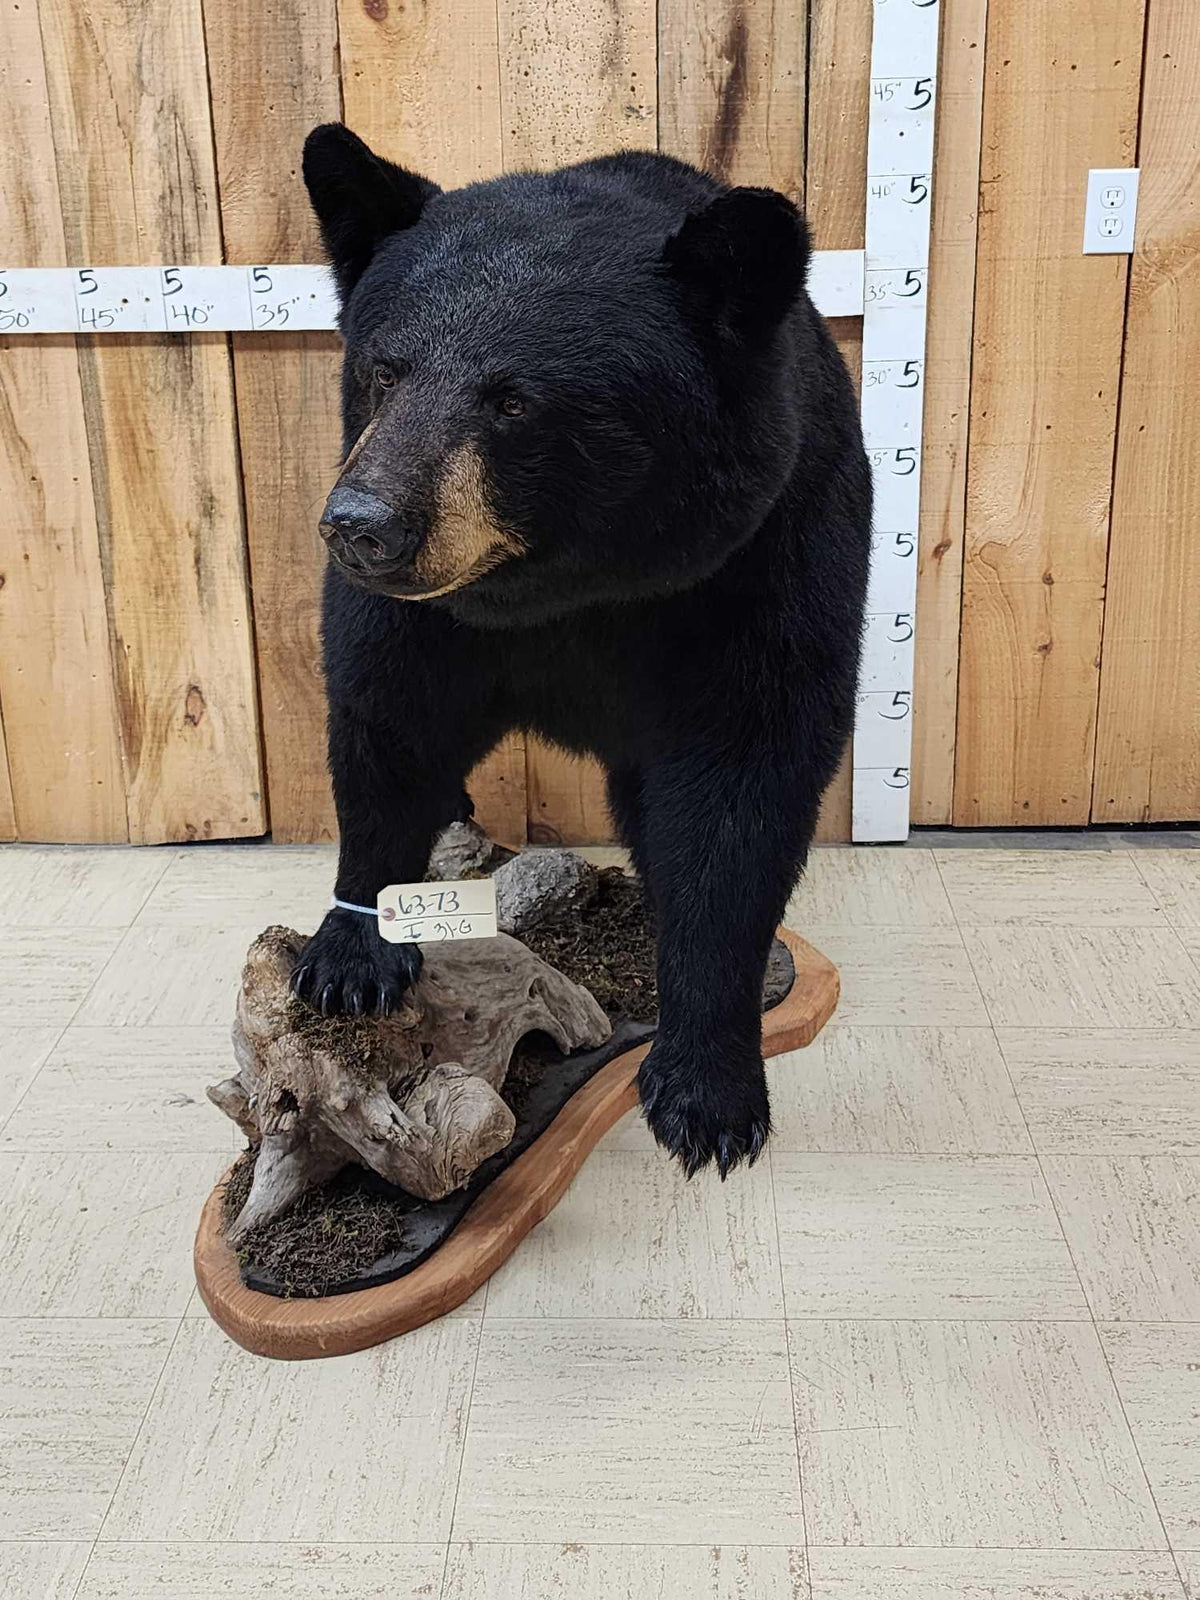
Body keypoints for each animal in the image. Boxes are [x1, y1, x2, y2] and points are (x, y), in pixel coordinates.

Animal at [292, 123, 871, 1178]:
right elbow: (386, 727)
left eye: (513, 400)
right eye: (386, 368)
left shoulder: (767, 563)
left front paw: (708, 1093)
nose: (361, 525)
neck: (572, 589)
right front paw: (355, 952)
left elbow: (743, 794)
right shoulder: (418, 621)